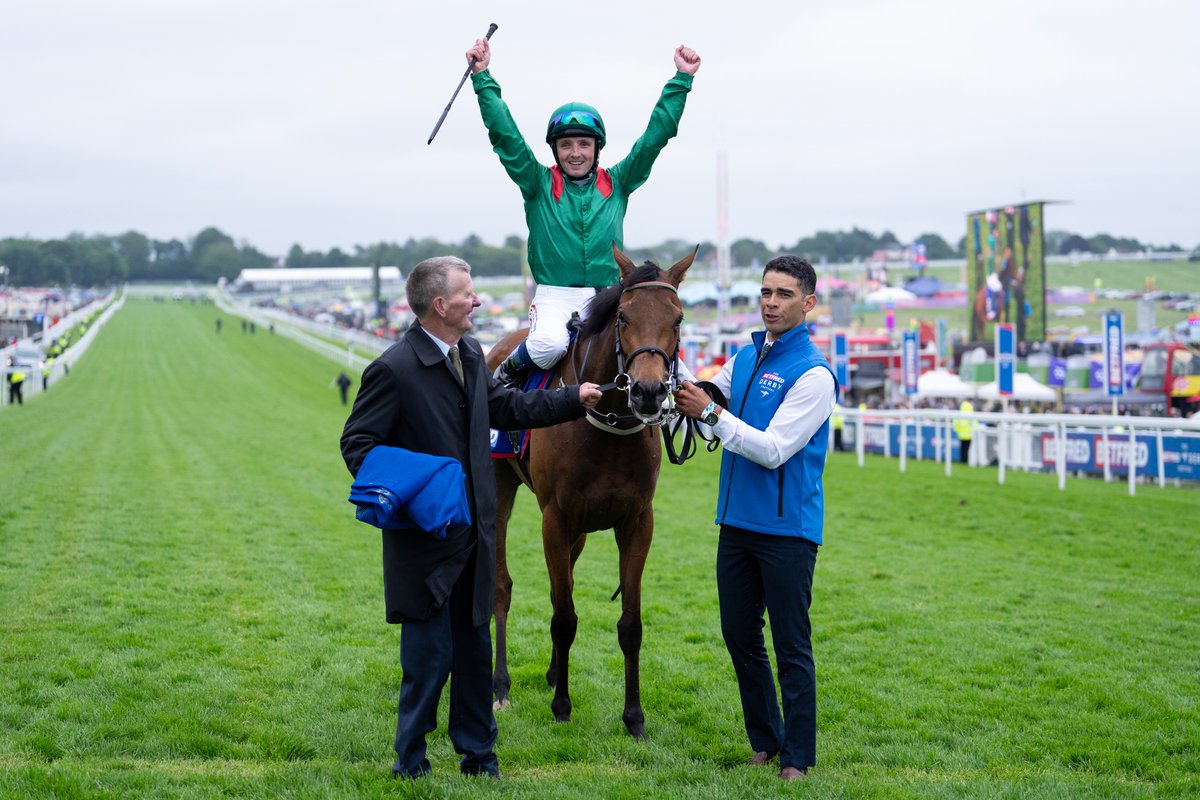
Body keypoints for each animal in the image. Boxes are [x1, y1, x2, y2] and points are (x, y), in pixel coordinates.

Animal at [484, 244, 696, 738]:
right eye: (623, 316)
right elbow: (564, 618)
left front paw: (634, 717)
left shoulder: (636, 521)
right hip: (501, 491)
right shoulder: (554, 518)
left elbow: (629, 624)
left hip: (578, 531)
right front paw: (562, 706)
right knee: (501, 587)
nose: (649, 391)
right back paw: (500, 686)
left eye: (678, 318)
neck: (607, 424)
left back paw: (550, 672)